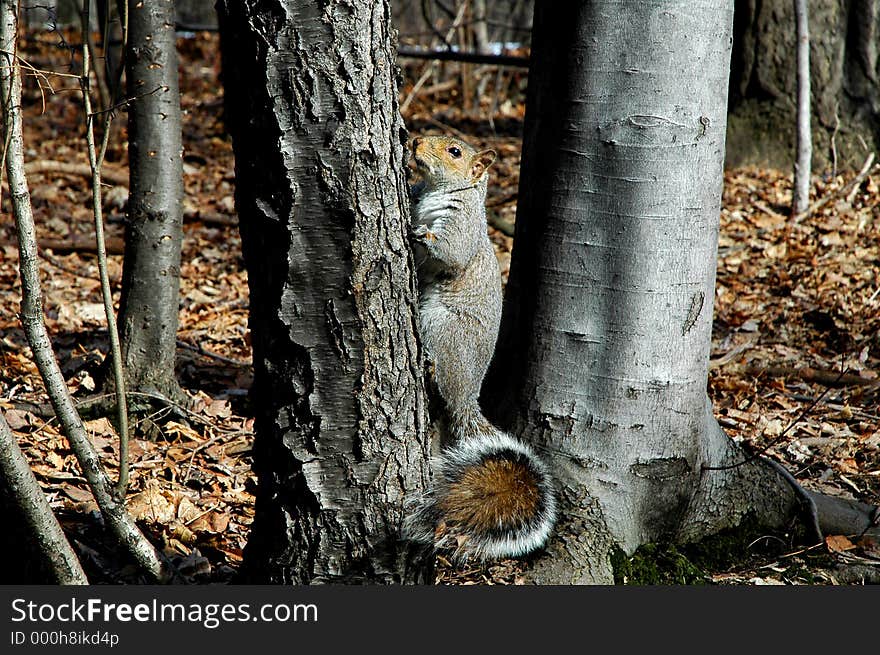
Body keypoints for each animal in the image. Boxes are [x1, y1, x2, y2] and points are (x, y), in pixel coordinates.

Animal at [402, 136, 552, 560]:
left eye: (454, 151)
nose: (414, 140)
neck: (440, 191)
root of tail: (469, 396)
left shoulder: (462, 227)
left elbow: (449, 252)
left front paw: (420, 232)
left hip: (443, 325)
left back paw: (431, 367)